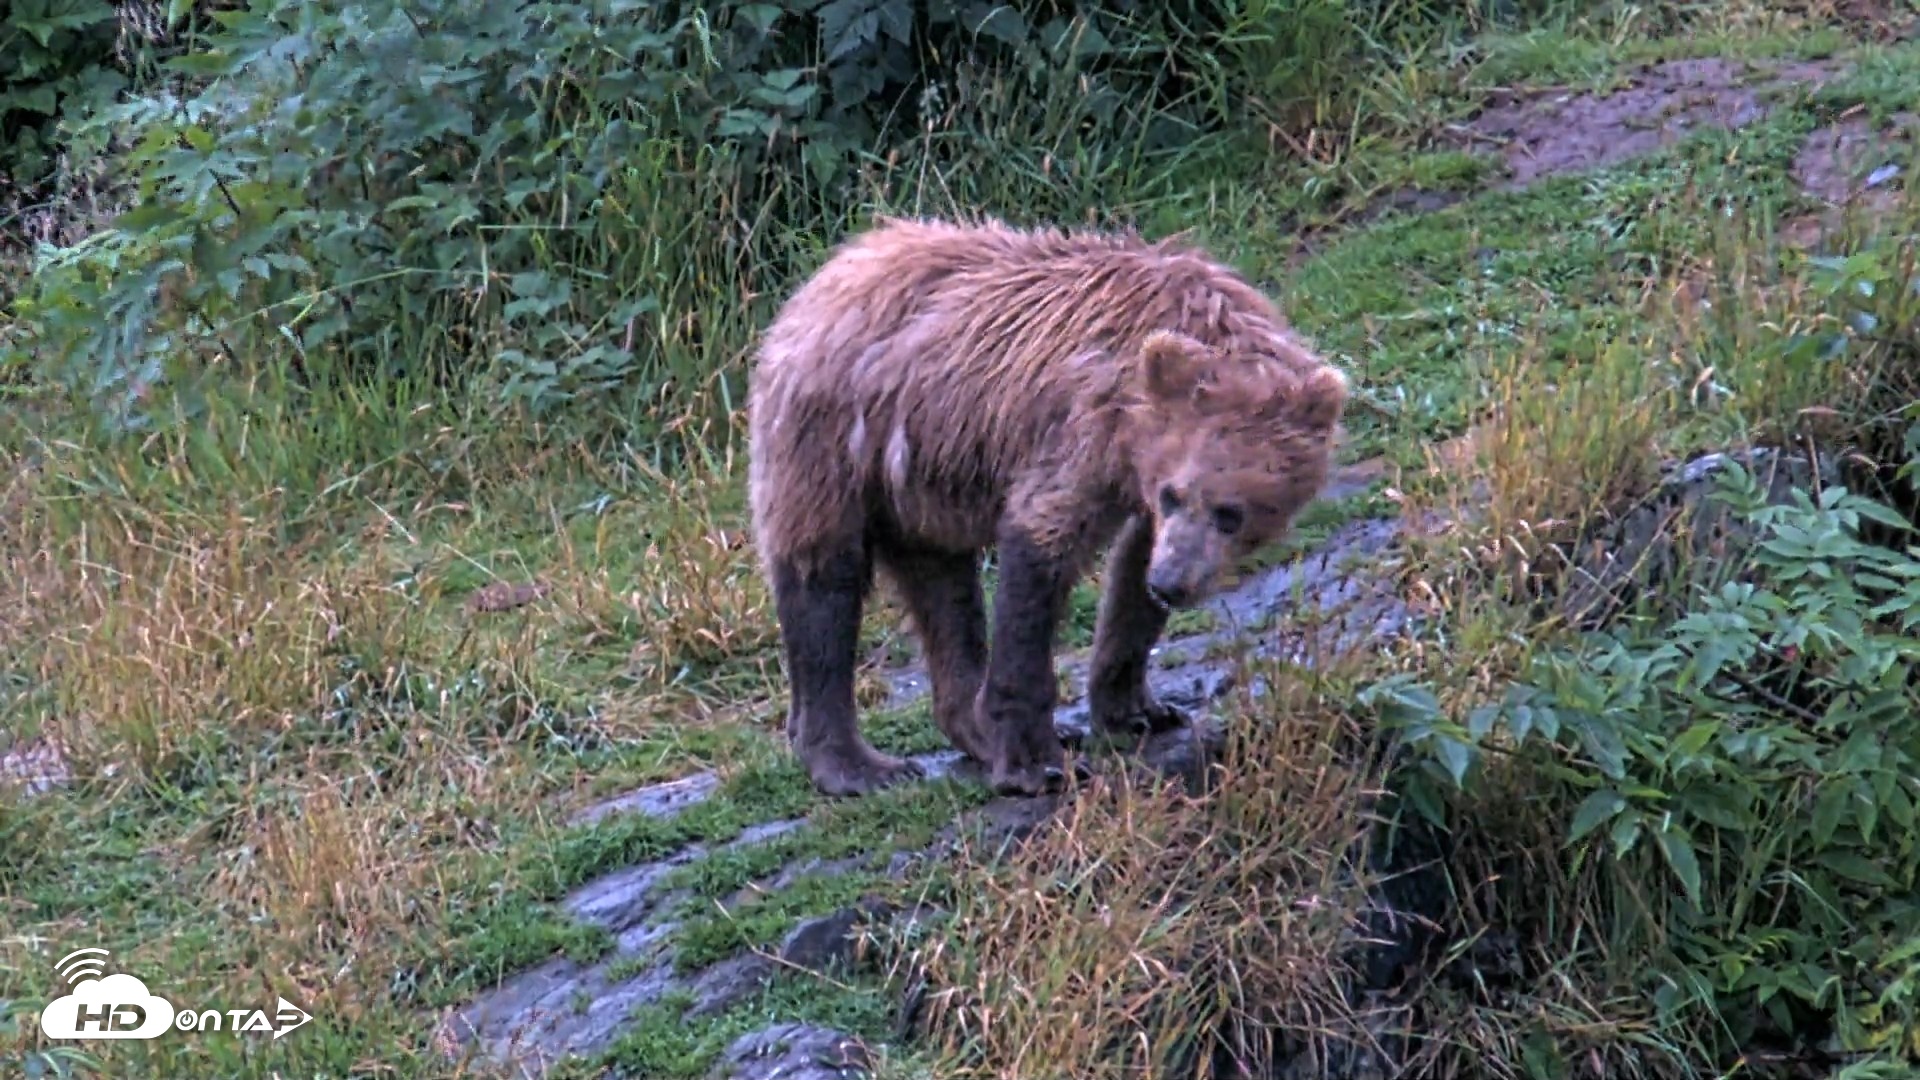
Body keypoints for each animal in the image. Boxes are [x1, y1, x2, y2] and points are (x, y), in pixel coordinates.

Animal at [746, 214, 1350, 799]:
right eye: (1177, 494)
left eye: (1231, 512)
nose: (1173, 583)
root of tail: (820, 279)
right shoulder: (1083, 428)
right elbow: (1041, 552)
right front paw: (1038, 764)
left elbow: (1130, 573)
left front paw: (1139, 709)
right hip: (836, 436)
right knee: (824, 579)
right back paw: (857, 764)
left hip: (921, 478)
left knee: (943, 589)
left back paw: (971, 727)